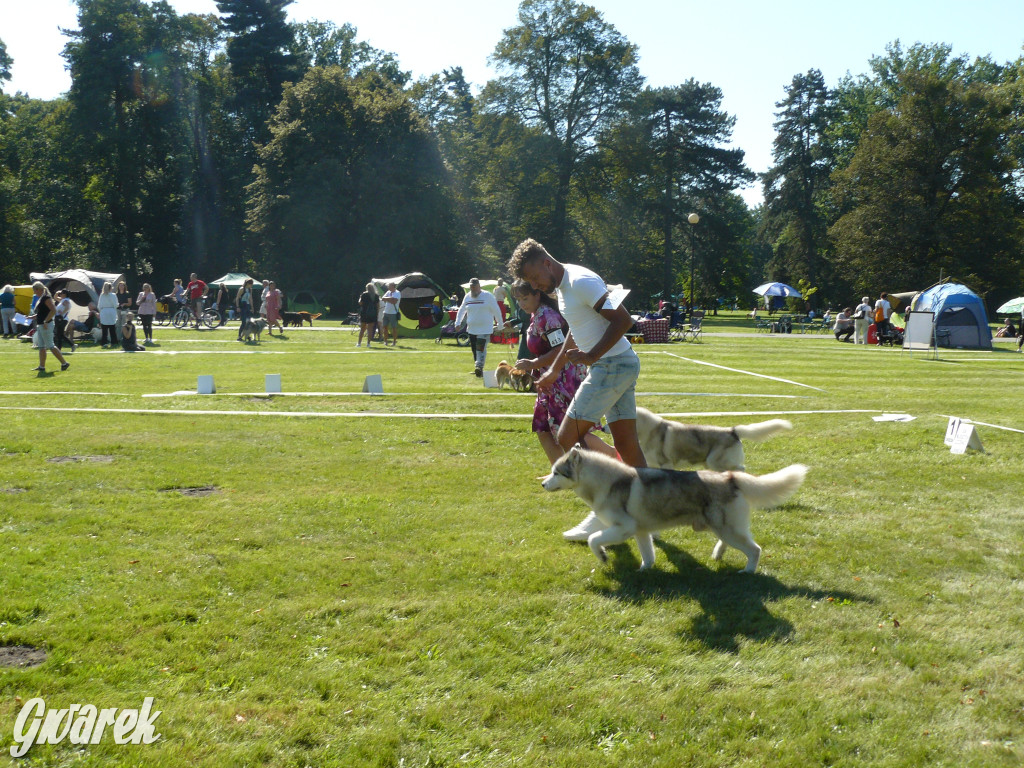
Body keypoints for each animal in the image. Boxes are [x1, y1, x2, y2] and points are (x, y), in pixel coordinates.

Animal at [544, 448, 806, 573]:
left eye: (556, 472)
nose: (543, 484)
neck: (605, 482)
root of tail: (731, 477)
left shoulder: (623, 528)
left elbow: (593, 539)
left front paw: (603, 556)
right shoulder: (640, 531)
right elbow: (648, 555)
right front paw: (644, 570)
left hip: (726, 528)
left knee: (754, 549)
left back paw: (748, 571)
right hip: (721, 527)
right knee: (734, 542)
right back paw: (718, 554)